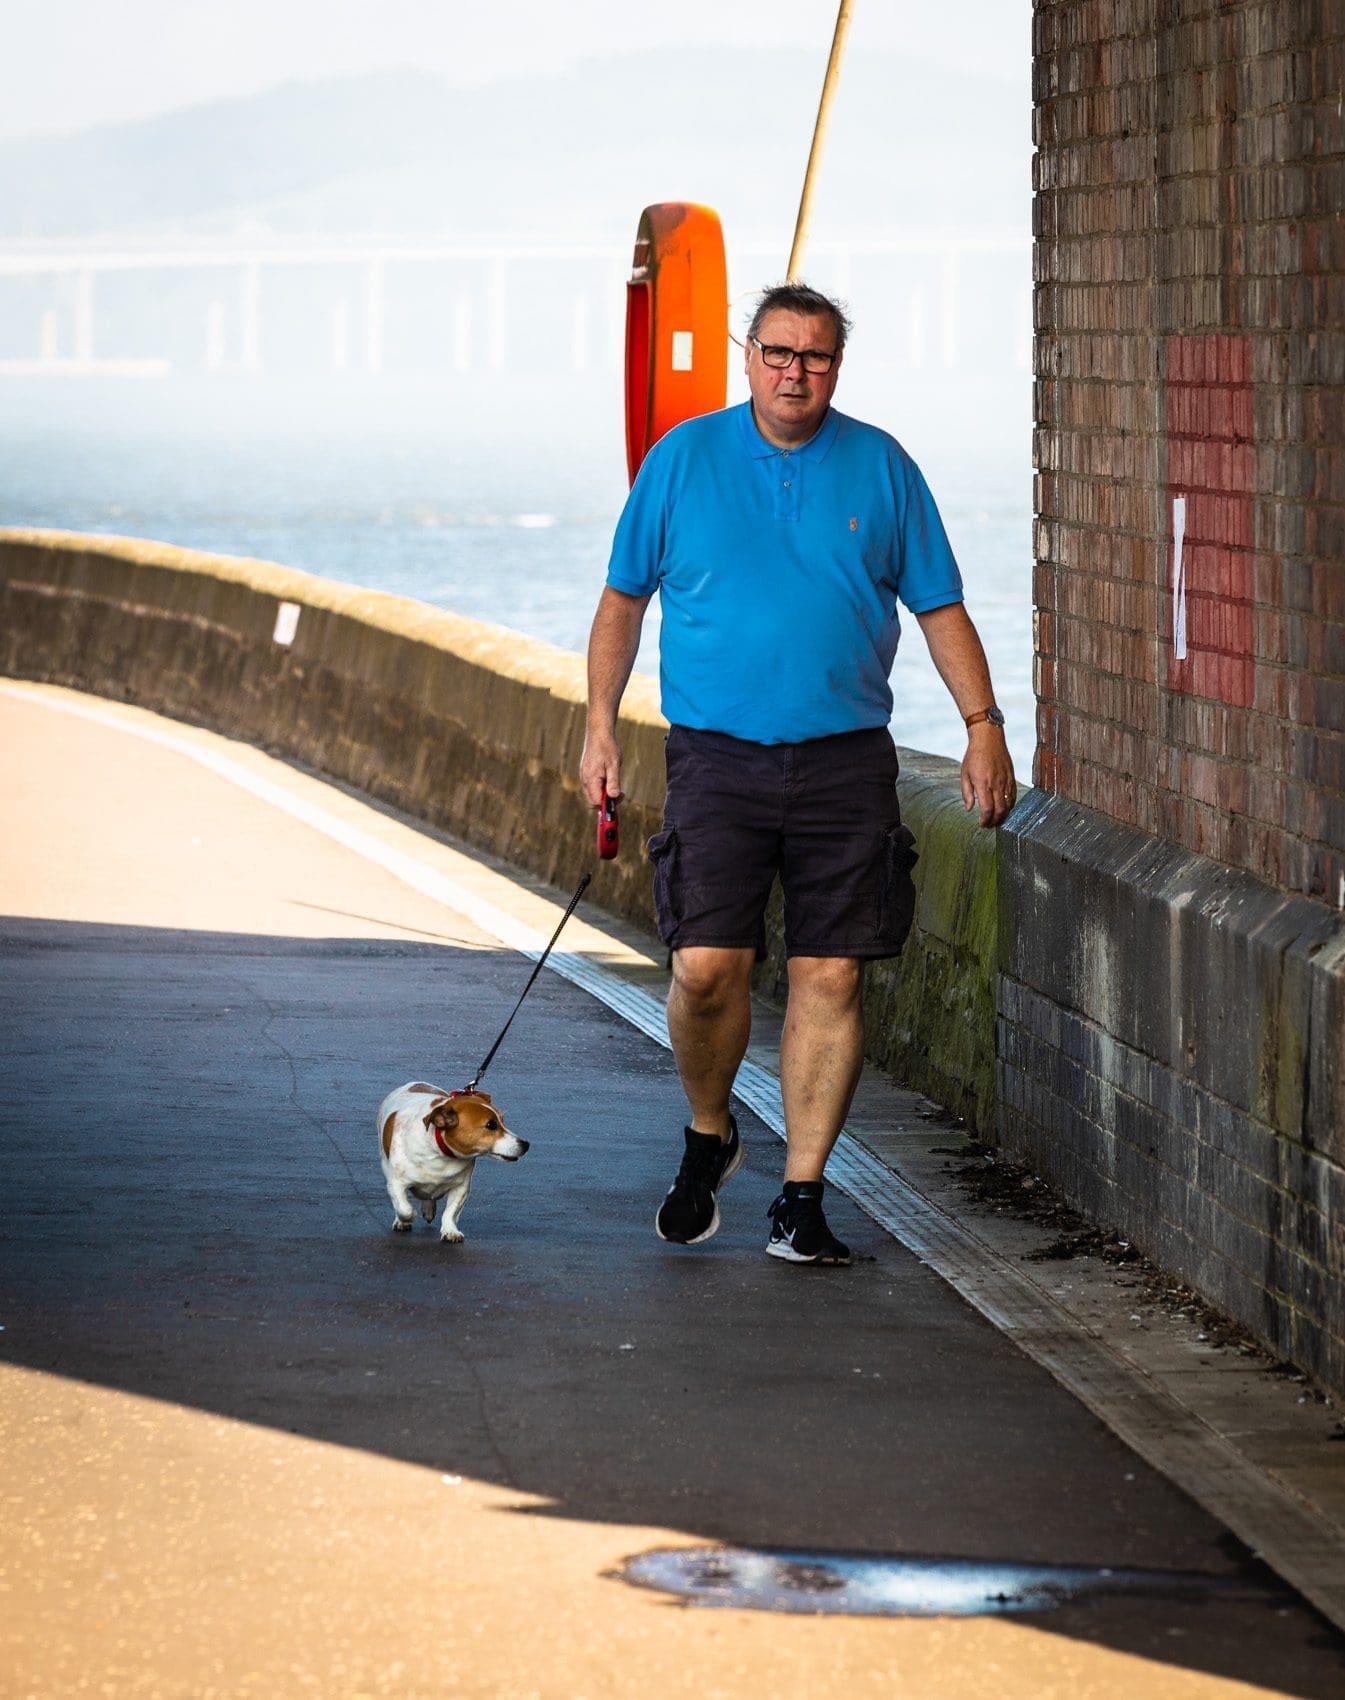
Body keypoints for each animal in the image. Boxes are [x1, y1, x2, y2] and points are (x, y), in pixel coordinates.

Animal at [379, 1081, 530, 1244]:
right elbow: (404, 1208)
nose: (525, 1144)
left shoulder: (461, 1187)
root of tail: (416, 1083)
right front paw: (407, 1218)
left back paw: (428, 1209)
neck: (439, 1153)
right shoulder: (396, 1183)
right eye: (491, 1125)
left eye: (503, 1120)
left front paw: (450, 1231)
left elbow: (450, 1212)